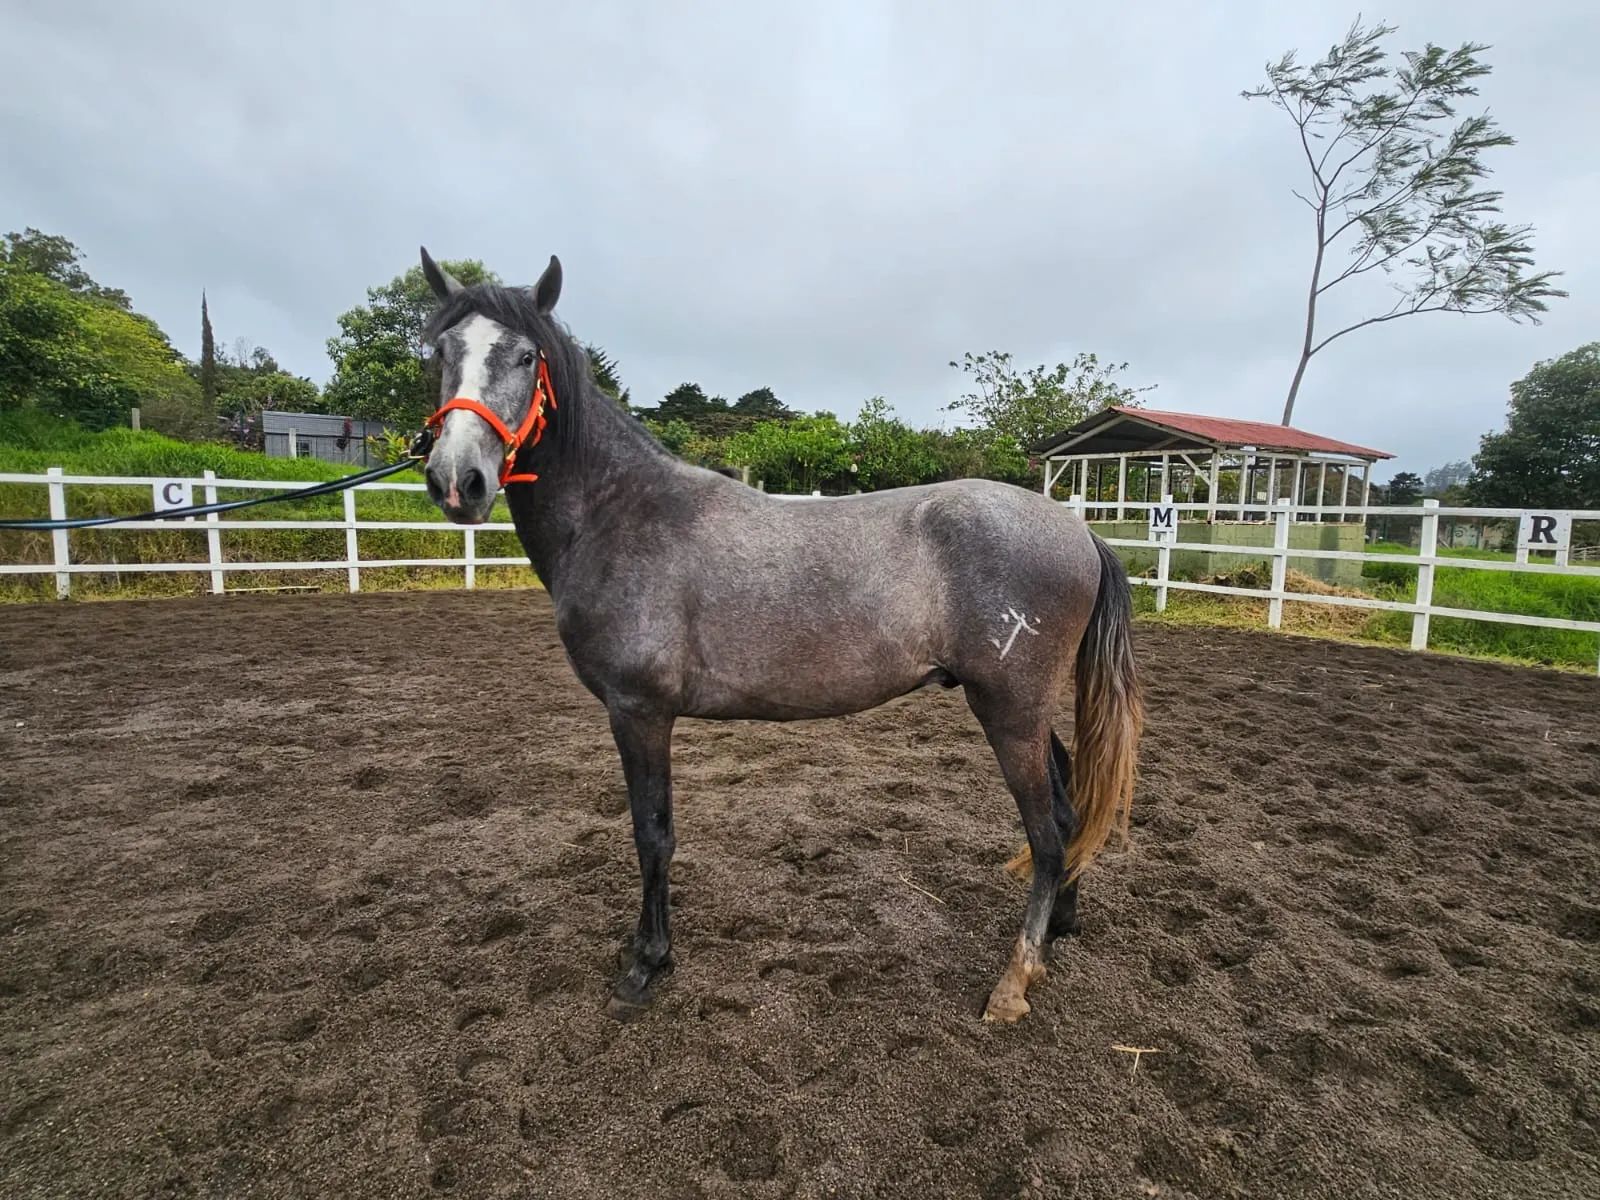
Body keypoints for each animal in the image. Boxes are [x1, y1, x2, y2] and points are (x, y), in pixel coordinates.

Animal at [414, 247, 1143, 1023]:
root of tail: (1079, 530)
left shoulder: (638, 711)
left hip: (1009, 709)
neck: (620, 512)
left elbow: (651, 833)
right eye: (442, 351)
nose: (458, 480)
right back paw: (1059, 926)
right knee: (1068, 810)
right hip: (1021, 709)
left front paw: (646, 964)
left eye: (526, 356)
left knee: (1046, 833)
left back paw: (1013, 980)